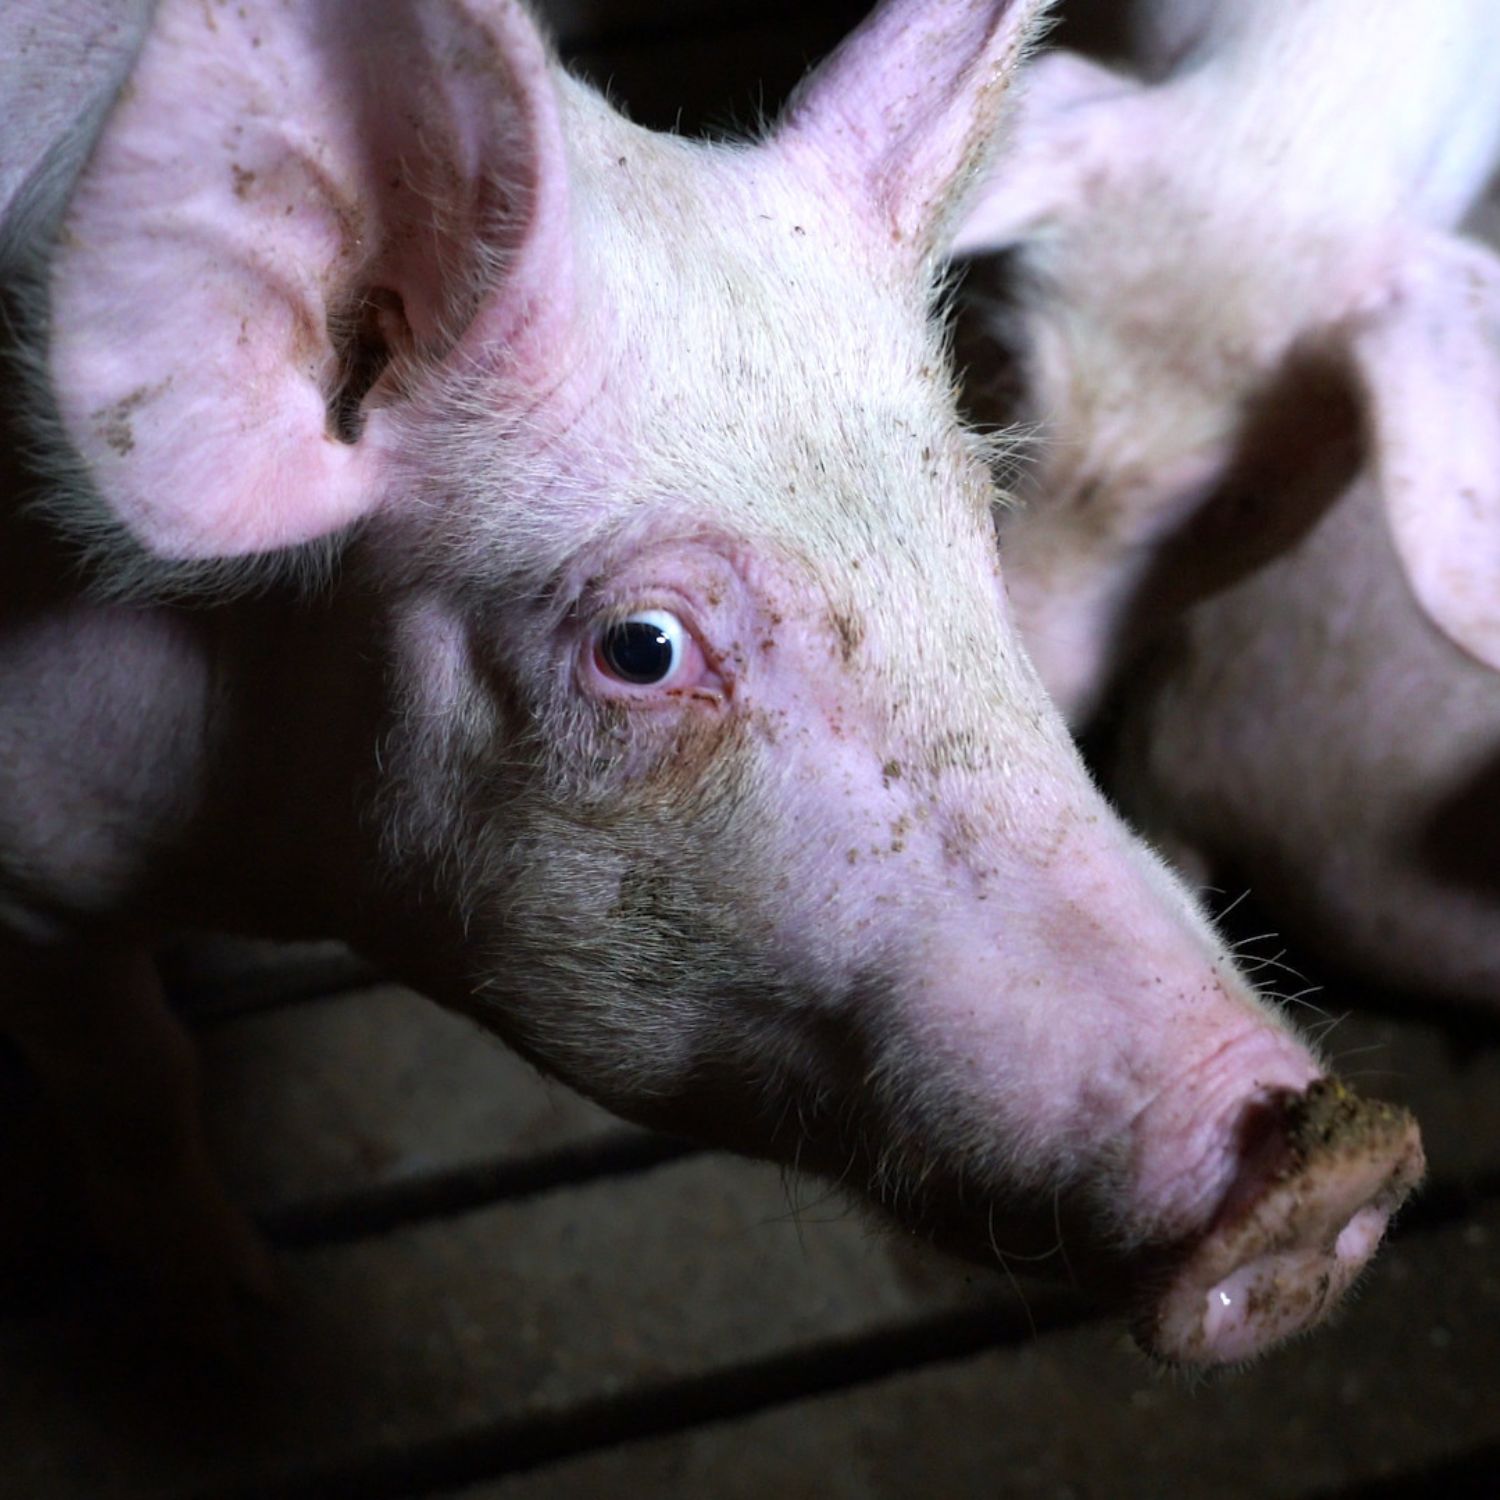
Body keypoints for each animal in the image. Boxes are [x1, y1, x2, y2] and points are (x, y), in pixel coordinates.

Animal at [0, 0, 1423, 1367]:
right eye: (644, 647)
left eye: (976, 518)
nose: (1339, 1167)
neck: (268, 864)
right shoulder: (41, 884)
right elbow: (138, 1083)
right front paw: (225, 1326)